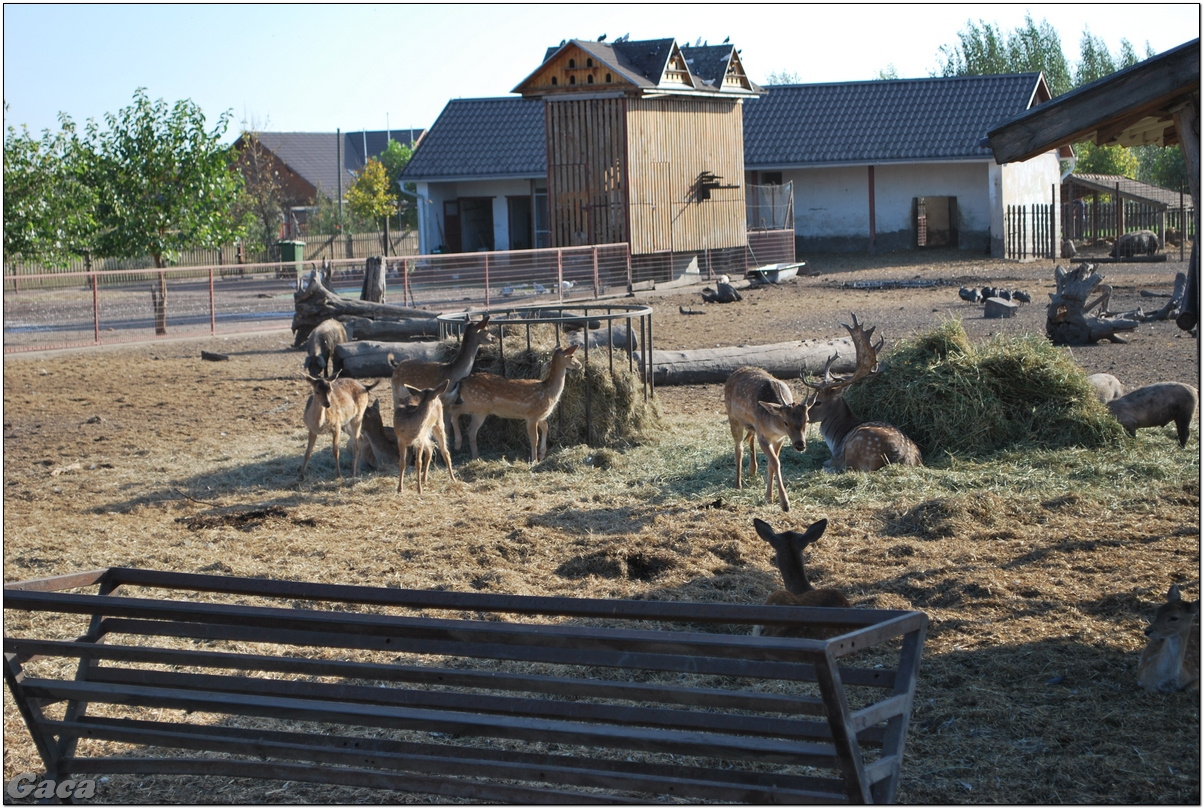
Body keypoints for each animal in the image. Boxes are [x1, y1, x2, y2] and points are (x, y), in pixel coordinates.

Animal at [450, 344, 585, 464]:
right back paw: (462, 447)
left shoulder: (539, 416)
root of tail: (462, 383)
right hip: (478, 406)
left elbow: (546, 426)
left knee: (465, 423)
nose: (580, 365)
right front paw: (534, 461)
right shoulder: (532, 415)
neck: (549, 392)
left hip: (477, 407)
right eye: (571, 356)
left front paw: (542, 454)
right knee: (460, 417)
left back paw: (470, 453)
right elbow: (534, 438)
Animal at [722, 365, 809, 512]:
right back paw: (738, 484)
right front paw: (784, 503)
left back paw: (752, 470)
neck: (774, 428)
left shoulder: (780, 439)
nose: (800, 445)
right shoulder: (763, 436)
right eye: (786, 422)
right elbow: (775, 462)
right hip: (733, 417)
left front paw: (769, 497)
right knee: (739, 448)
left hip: (751, 425)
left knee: (749, 438)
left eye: (807, 420)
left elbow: (772, 463)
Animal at [799, 313, 919, 471]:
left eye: (818, 401)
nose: (803, 415)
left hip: (858, 445)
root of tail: (901, 458)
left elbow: (827, 462)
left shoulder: (836, 457)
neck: (836, 439)